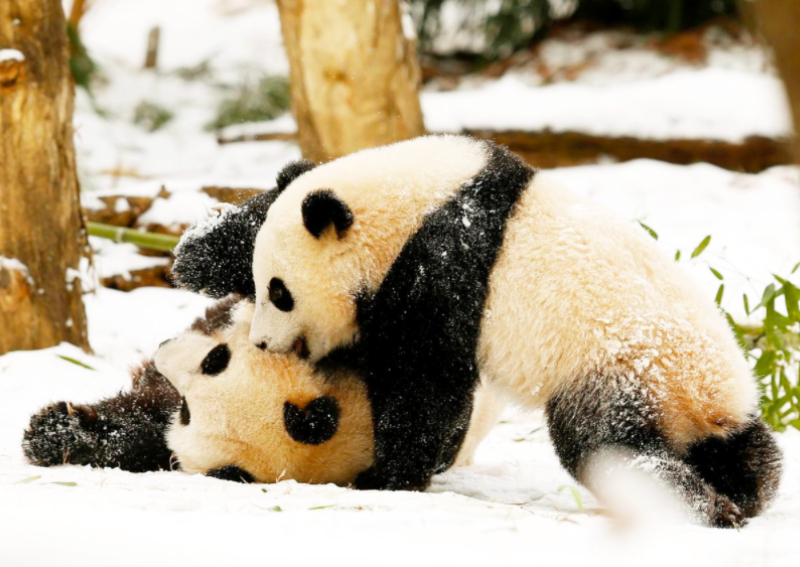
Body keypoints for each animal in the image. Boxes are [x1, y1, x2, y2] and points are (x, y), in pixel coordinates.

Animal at [242, 135, 780, 524]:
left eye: (279, 292)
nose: (260, 342)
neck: (410, 205)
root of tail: (705, 397)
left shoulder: (441, 266)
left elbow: (425, 381)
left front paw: (385, 476)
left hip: (617, 368)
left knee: (607, 446)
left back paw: (708, 508)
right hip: (688, 396)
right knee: (741, 450)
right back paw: (746, 491)